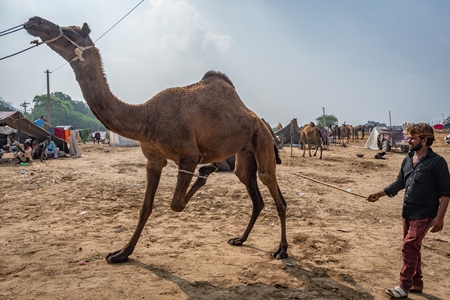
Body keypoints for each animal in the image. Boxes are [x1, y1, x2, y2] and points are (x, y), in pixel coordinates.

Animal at [25, 17, 288, 264]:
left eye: (69, 31)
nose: (34, 21)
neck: (146, 117)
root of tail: (260, 120)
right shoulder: (153, 159)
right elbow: (145, 207)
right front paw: (121, 253)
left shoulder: (188, 155)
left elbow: (176, 203)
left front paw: (206, 171)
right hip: (245, 153)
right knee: (253, 192)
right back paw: (240, 239)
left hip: (262, 140)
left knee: (273, 187)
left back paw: (281, 250)